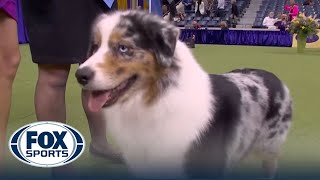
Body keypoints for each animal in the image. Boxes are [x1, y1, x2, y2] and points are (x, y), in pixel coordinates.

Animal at [75, 10, 292, 180]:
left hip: (269, 148)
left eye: (123, 48)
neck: (155, 101)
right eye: (95, 47)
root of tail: (273, 77)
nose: (80, 75)